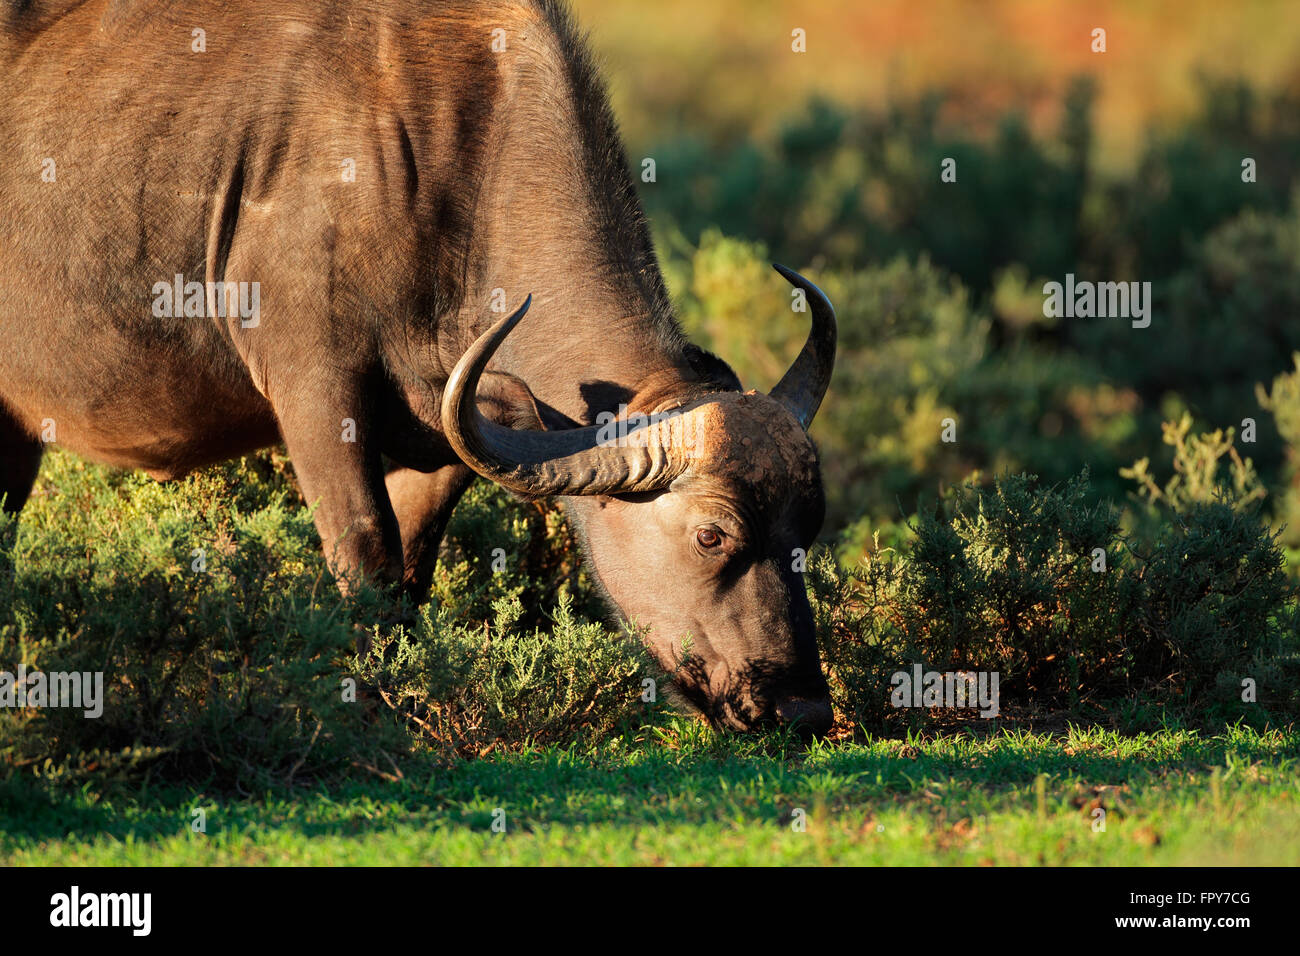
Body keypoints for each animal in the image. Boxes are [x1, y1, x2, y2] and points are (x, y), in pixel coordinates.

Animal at [0, 0, 837, 738]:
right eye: (712, 536)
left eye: (811, 526)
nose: (801, 711)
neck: (453, 168)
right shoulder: (316, 392)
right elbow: (366, 554)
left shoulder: (444, 445)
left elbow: (410, 571)